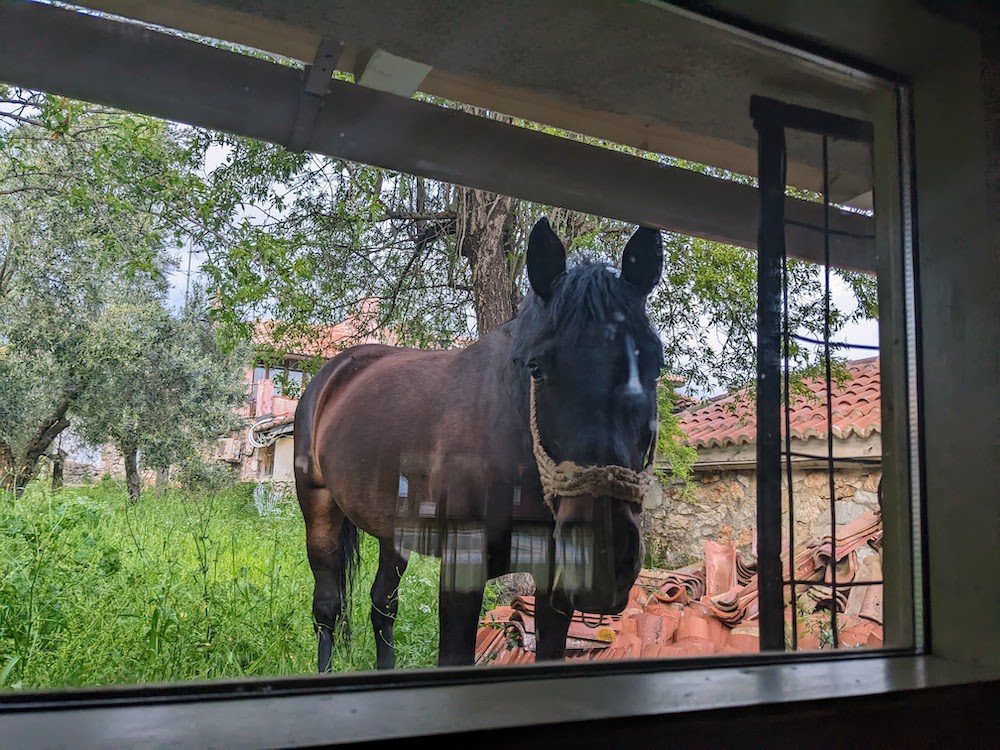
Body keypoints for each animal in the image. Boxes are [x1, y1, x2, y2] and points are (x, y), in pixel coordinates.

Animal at [294, 217, 664, 668]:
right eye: (537, 368)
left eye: (655, 365)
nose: (604, 559)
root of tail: (334, 372)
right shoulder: (460, 575)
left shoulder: (553, 584)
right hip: (320, 511)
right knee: (327, 608)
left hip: (392, 532)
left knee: (382, 605)